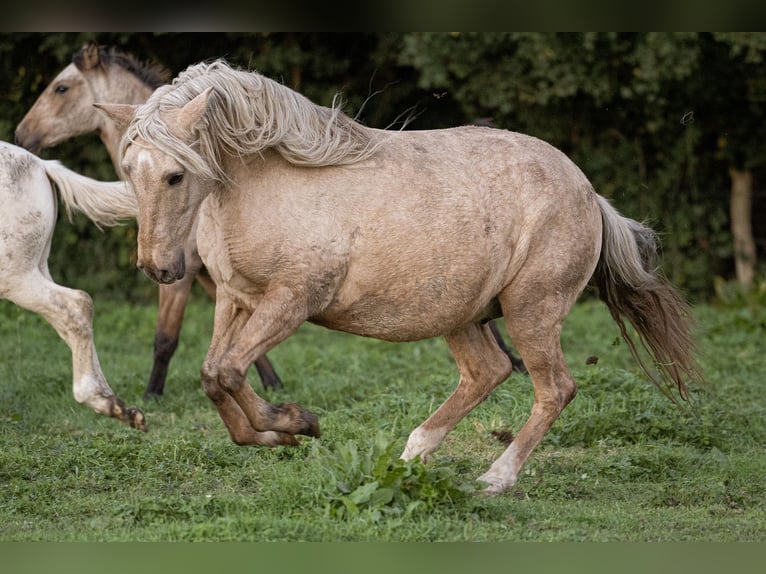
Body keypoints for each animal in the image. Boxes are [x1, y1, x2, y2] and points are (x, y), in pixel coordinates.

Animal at [0, 142, 146, 432]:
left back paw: (100, 400)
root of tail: (41, 165)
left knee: (77, 304)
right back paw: (118, 406)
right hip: (35, 269)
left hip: (14, 277)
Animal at [14, 44, 284, 400]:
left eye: (61, 88)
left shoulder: (180, 274)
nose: (21, 134)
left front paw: (151, 395)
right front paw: (272, 384)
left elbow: (165, 337)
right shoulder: (208, 275)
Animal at [99, 62, 704, 496]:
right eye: (129, 171)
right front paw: (278, 433)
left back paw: (494, 478)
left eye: (175, 175)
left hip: (532, 310)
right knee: (487, 372)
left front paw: (296, 422)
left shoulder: (293, 300)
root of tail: (590, 193)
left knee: (554, 388)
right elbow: (213, 375)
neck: (271, 184)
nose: (158, 268)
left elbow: (227, 371)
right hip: (462, 313)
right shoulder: (236, 300)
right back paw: (411, 456)